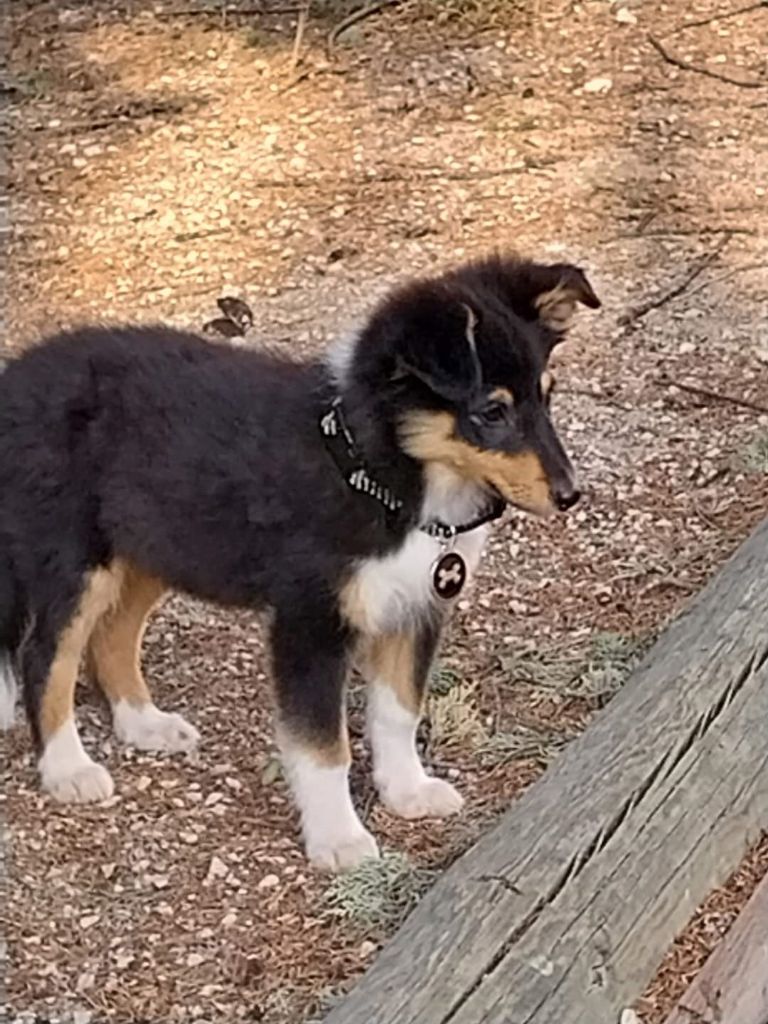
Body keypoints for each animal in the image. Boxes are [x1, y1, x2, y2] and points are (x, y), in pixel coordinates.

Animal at [0, 251, 602, 868]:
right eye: (491, 412)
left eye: (547, 396)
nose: (570, 494)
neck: (376, 474)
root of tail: (15, 376)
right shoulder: (310, 622)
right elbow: (323, 746)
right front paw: (338, 838)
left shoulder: (417, 607)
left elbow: (397, 711)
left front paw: (407, 791)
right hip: (75, 556)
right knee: (45, 654)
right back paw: (68, 769)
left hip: (152, 541)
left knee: (113, 633)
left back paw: (145, 725)